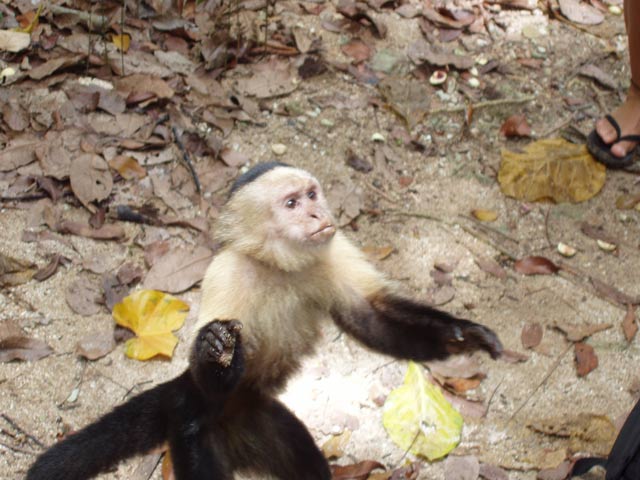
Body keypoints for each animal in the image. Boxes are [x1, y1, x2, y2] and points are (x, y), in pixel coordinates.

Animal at [27, 162, 502, 480]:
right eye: (291, 204)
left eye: (311, 195)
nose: (317, 214)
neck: (278, 266)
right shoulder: (227, 273)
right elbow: (216, 352)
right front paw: (215, 350)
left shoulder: (333, 249)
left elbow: (370, 319)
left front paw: (462, 337)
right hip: (194, 422)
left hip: (259, 418)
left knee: (305, 466)